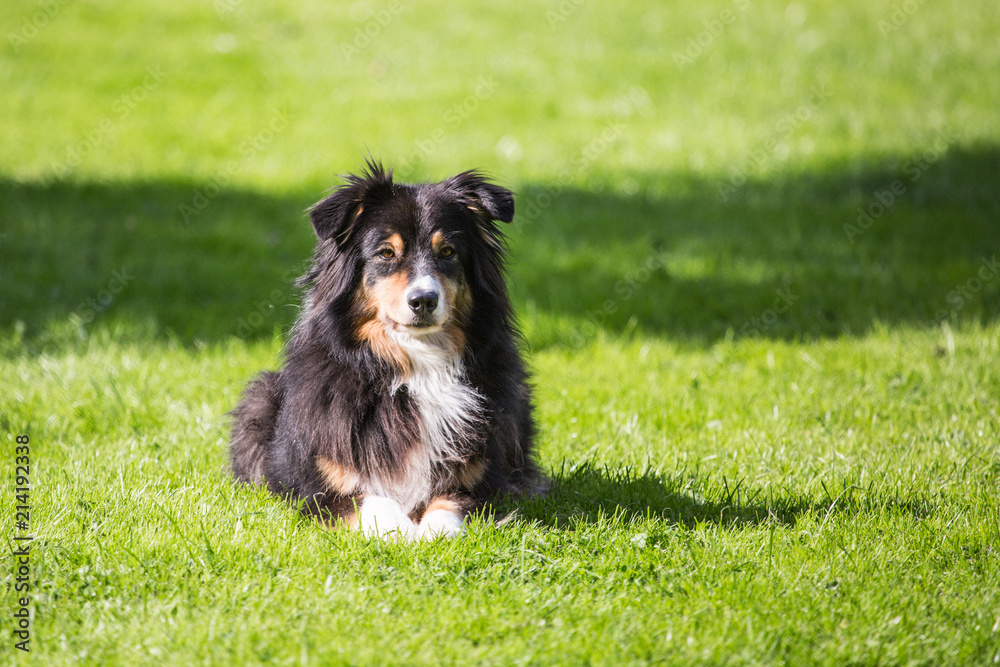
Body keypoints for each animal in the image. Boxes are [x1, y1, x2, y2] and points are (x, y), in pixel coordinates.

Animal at [229, 163, 548, 544]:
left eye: (448, 252)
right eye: (385, 254)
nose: (423, 300)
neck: (415, 364)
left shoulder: (482, 477)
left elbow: (449, 505)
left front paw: (431, 535)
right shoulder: (319, 484)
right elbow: (373, 502)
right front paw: (401, 533)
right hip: (259, 398)